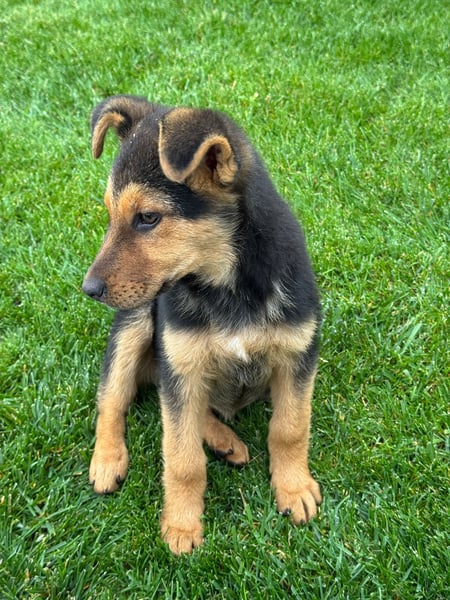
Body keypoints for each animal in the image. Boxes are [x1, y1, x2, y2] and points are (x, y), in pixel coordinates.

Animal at [82, 95, 322, 554]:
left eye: (148, 217)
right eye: (108, 213)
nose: (88, 289)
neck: (227, 285)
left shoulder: (298, 355)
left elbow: (289, 428)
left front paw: (294, 488)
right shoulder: (182, 363)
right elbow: (182, 458)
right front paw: (181, 525)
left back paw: (225, 441)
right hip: (136, 326)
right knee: (114, 401)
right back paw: (107, 459)